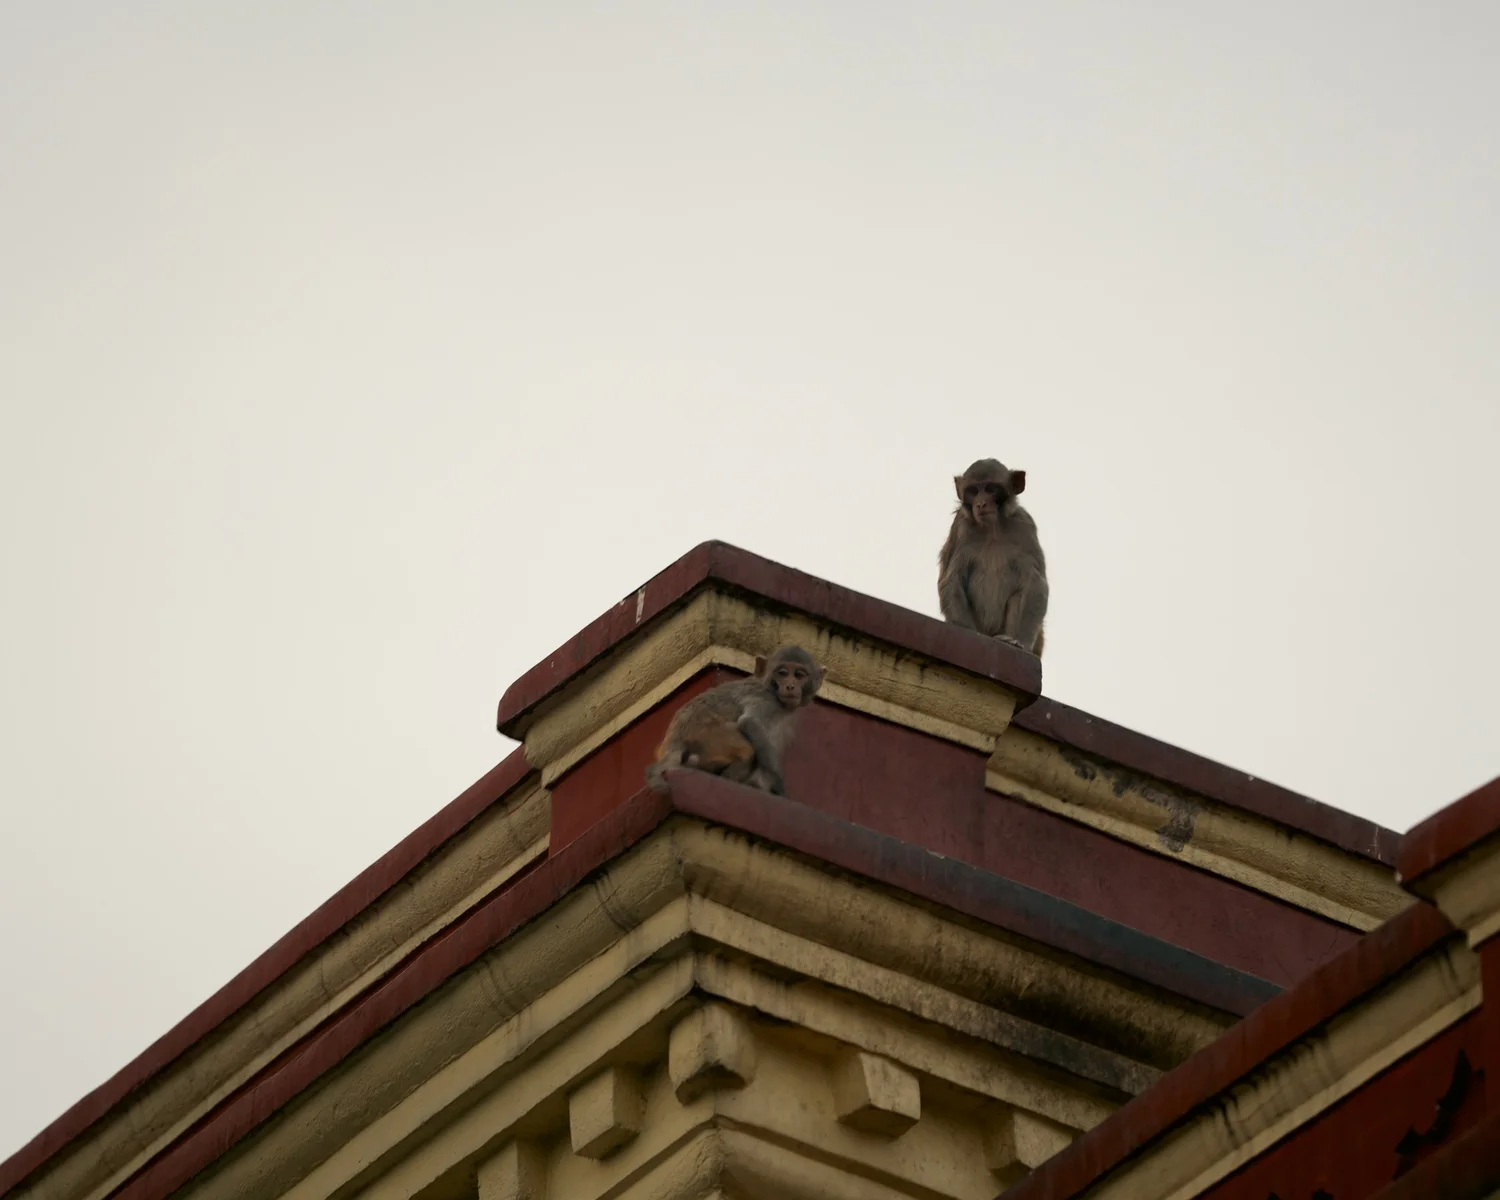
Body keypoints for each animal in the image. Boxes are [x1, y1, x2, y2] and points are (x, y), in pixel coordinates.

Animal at [645, 645, 824, 796]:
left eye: (799, 675)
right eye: (782, 673)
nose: (790, 686)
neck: (771, 689)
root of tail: (672, 742)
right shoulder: (766, 700)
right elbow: (749, 722)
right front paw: (779, 787)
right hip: (709, 737)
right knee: (746, 750)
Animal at [938, 458, 1049, 655]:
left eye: (990, 488)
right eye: (973, 491)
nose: (981, 503)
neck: (992, 528)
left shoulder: (1025, 526)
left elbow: (1035, 581)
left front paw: (1021, 642)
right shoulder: (960, 528)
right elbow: (951, 580)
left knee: (1018, 595)